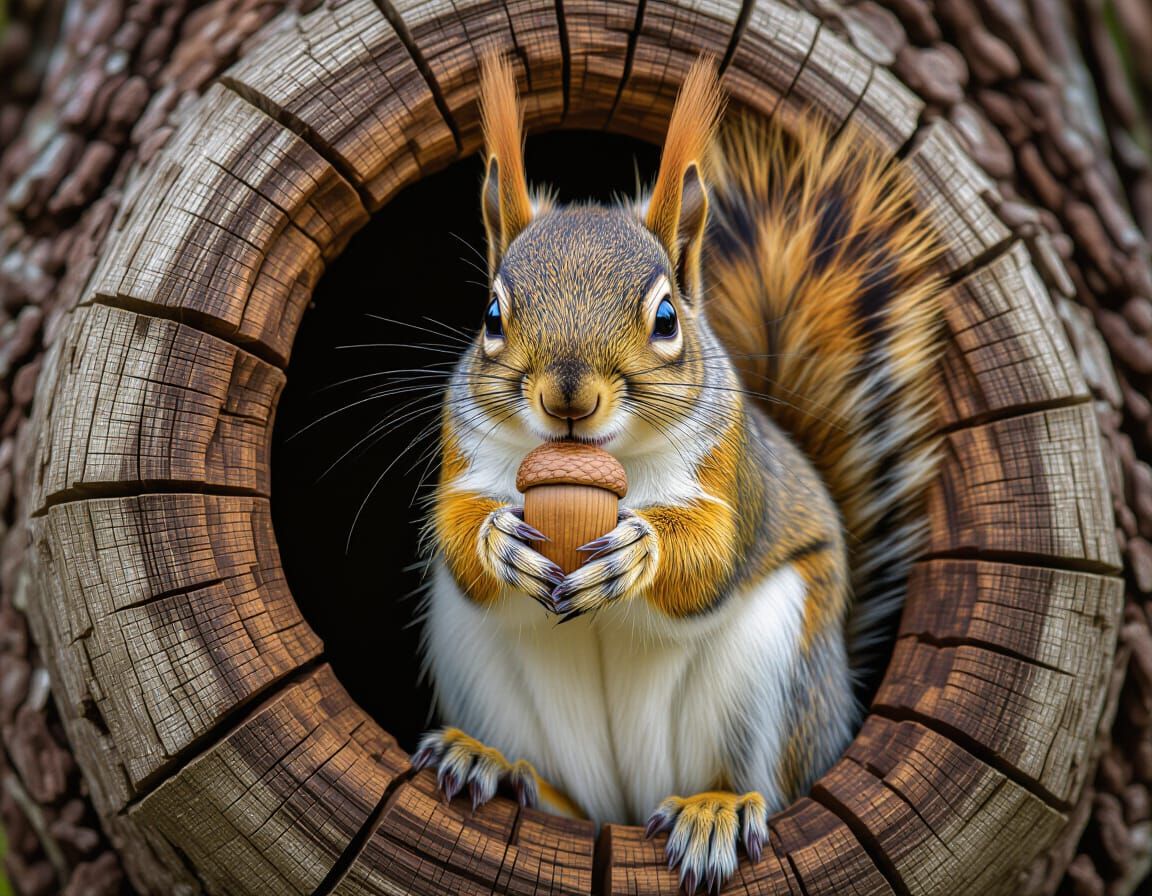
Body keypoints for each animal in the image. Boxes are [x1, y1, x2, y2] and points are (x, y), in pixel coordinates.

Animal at [414, 54, 943, 894]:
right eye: (492, 315)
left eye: (666, 319)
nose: (568, 397)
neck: (609, 458)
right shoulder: (462, 446)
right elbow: (457, 526)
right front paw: (499, 541)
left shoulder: (733, 470)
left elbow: (713, 557)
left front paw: (640, 553)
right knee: (570, 802)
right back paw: (493, 764)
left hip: (775, 670)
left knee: (764, 786)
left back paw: (713, 811)